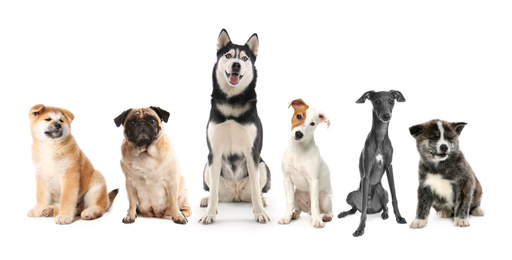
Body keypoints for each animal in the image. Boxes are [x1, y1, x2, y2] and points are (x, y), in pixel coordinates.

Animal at [199, 27, 272, 223]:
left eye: (245, 58)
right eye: (229, 55)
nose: (236, 65)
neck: (232, 101)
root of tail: (235, 193)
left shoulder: (252, 153)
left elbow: (255, 188)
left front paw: (259, 212)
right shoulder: (214, 153)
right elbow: (214, 192)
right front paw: (210, 213)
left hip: (263, 165)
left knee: (257, 189)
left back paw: (262, 200)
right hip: (207, 166)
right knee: (214, 191)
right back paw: (206, 200)